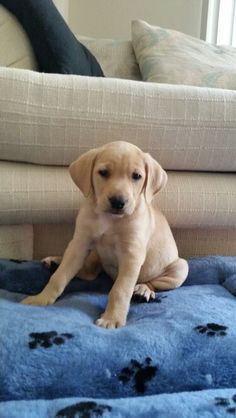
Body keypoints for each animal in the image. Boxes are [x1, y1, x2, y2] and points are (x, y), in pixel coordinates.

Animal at [21, 142, 188, 328]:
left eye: (136, 176)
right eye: (103, 172)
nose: (118, 202)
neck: (110, 220)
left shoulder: (132, 255)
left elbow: (120, 290)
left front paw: (112, 319)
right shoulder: (80, 243)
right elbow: (60, 276)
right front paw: (40, 299)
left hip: (181, 268)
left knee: (152, 283)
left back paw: (143, 290)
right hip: (95, 254)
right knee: (88, 271)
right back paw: (55, 262)